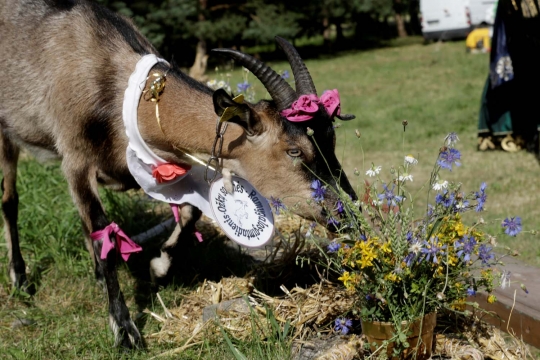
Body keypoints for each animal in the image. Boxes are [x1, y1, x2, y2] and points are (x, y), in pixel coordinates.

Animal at [1, 0, 358, 348]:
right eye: (294, 151)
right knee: (10, 200)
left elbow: (188, 212)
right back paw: (20, 278)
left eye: (331, 140)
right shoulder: (75, 158)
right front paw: (125, 330)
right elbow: (104, 233)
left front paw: (158, 267)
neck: (117, 85)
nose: (347, 212)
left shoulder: (159, 161)